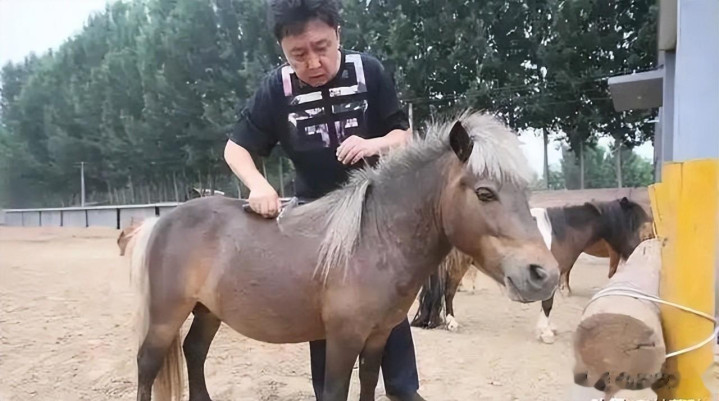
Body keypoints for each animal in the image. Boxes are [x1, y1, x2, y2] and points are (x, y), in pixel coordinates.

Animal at [128, 111, 560, 401]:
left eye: (526, 191)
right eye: (485, 193)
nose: (544, 274)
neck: (373, 242)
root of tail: (164, 219)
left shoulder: (377, 337)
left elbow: (369, 383)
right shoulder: (342, 338)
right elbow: (336, 391)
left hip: (208, 311)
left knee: (194, 353)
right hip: (167, 315)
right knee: (148, 364)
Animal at [411, 198, 654, 343]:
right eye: (632, 223)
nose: (639, 251)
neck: (560, 232)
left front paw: (549, 329)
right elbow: (547, 304)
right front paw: (545, 333)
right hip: (459, 264)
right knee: (449, 291)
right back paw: (452, 322)